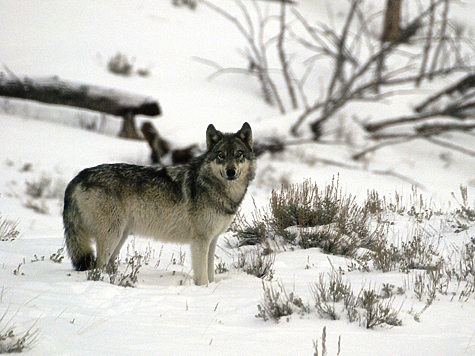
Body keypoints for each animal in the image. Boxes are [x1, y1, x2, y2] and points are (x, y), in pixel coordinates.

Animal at [64, 124, 256, 286]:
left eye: (239, 154)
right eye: (221, 155)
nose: (230, 172)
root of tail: (78, 176)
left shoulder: (213, 239)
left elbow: (210, 273)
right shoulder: (200, 240)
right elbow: (202, 277)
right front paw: (204, 290)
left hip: (120, 236)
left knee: (108, 264)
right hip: (112, 235)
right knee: (99, 266)